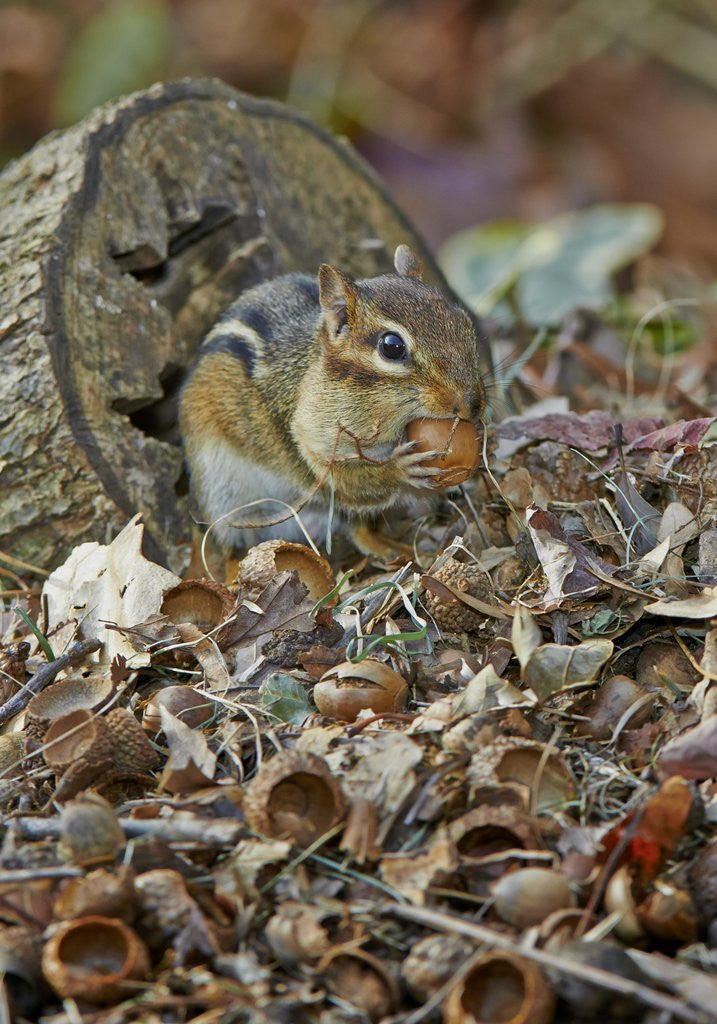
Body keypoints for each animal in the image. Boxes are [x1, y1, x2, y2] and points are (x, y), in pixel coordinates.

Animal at [179, 243, 488, 555]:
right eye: (392, 346)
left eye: (463, 320)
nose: (472, 404)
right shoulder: (309, 435)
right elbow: (344, 478)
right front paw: (398, 470)